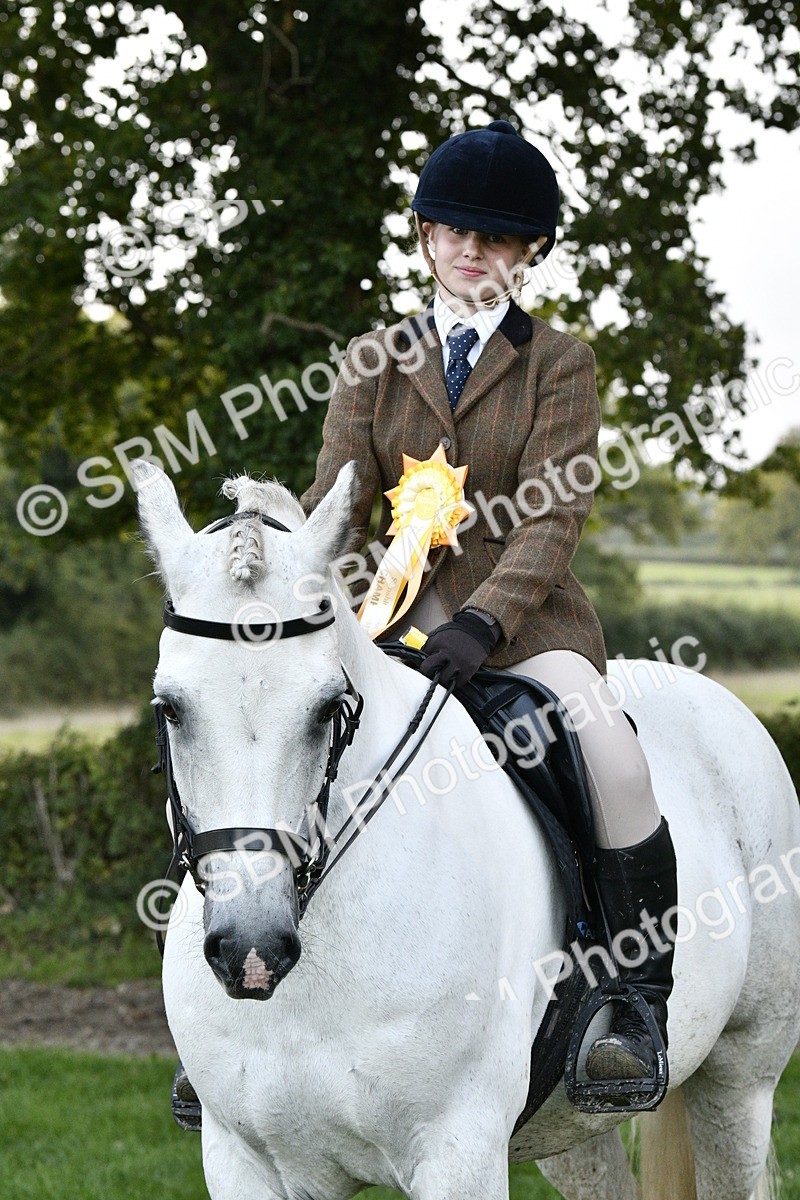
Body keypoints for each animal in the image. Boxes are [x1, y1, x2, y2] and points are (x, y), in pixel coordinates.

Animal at [134, 457, 800, 1200]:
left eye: (328, 707)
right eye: (171, 707)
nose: (251, 949)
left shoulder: (458, 1151)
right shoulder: (243, 1159)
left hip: (740, 1075)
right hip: (567, 1122)